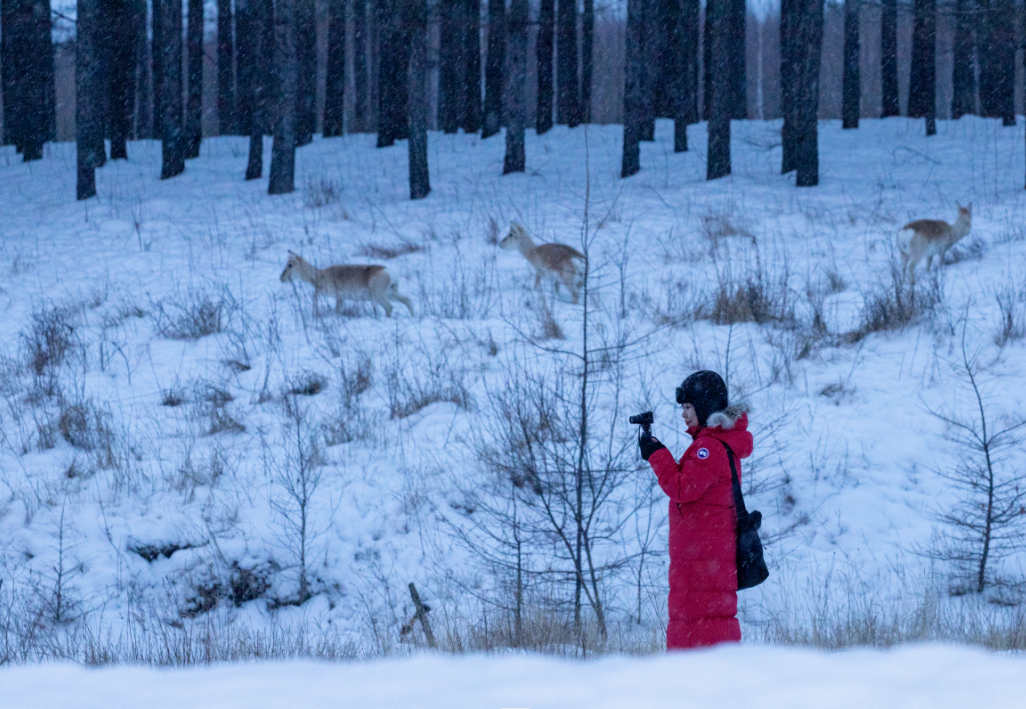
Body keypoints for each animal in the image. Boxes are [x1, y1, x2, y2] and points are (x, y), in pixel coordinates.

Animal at [279, 249, 414, 316]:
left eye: (290, 265)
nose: (281, 278)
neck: (319, 275)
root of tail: (390, 272)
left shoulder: (333, 295)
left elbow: (315, 297)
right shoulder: (340, 298)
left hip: (379, 296)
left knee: (389, 307)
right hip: (391, 294)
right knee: (407, 300)